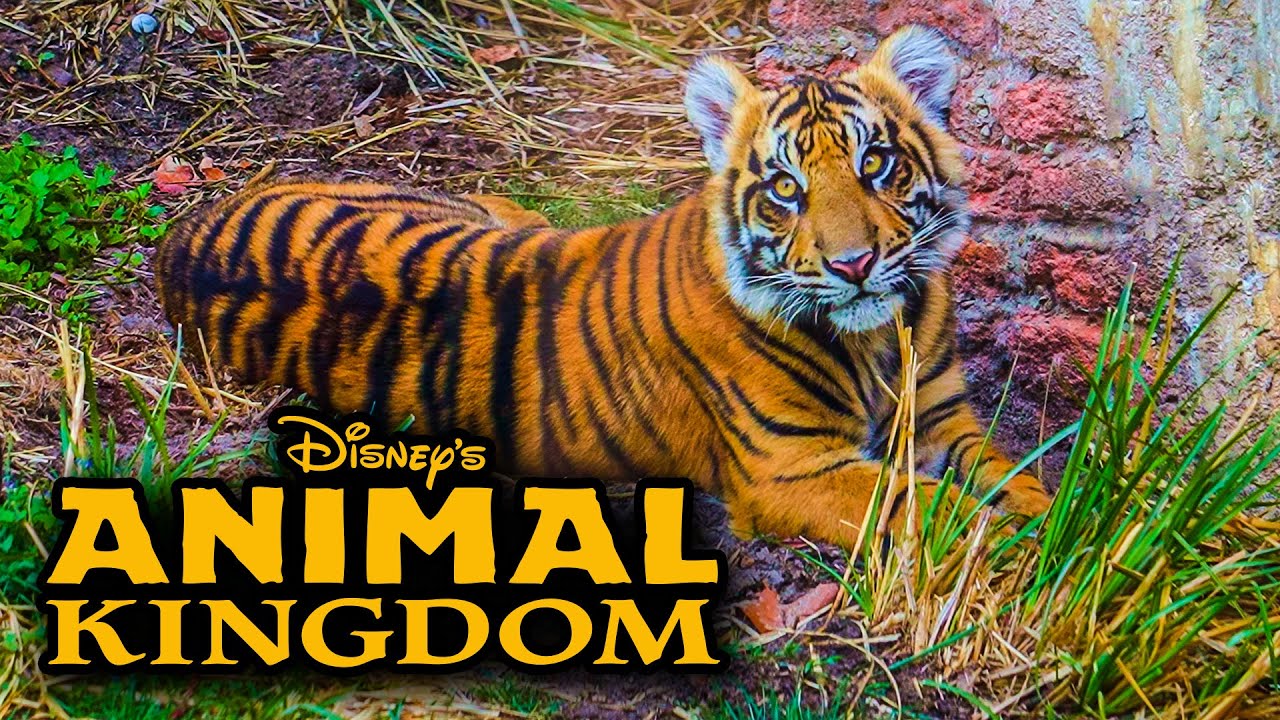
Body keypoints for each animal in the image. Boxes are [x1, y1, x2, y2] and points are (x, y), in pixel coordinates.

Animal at [155, 26, 1053, 548]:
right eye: (786, 188)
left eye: (875, 164)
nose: (853, 265)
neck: (875, 338)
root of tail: (185, 230)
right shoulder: (793, 469)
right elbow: (941, 511)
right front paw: (1051, 568)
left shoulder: (944, 419)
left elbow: (1022, 482)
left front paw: (1068, 527)